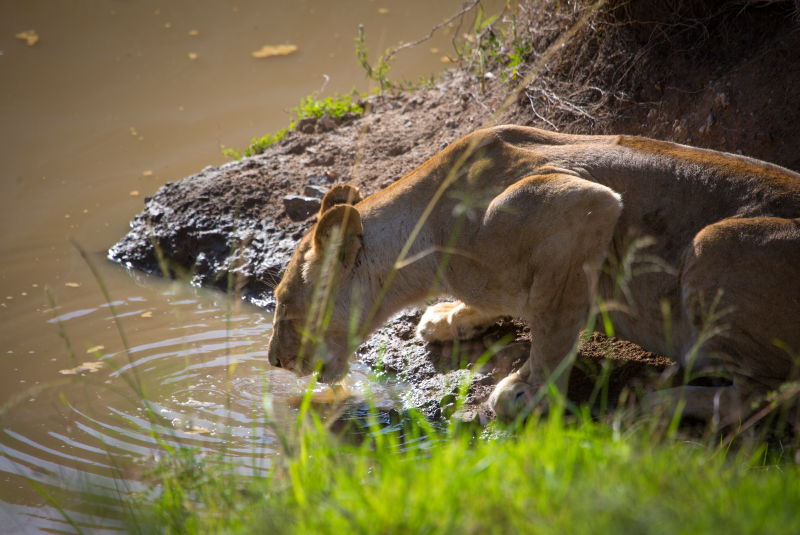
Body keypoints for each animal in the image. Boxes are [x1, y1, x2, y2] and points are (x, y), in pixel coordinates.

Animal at [267, 125, 800, 424]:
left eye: (285, 306)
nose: (274, 361)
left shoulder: (580, 205)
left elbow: (553, 321)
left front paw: (530, 390)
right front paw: (448, 317)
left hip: (712, 244)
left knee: (766, 396)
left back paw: (657, 403)